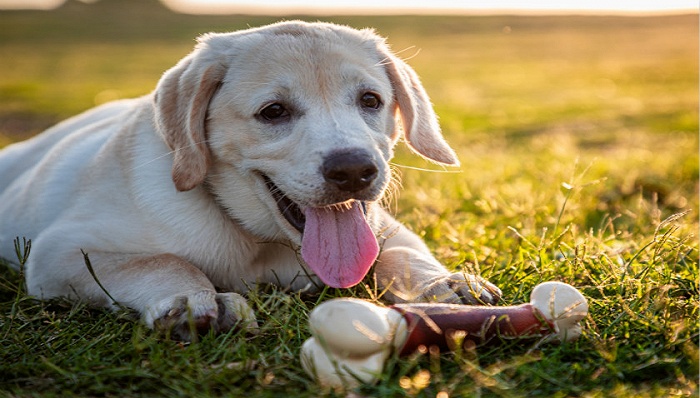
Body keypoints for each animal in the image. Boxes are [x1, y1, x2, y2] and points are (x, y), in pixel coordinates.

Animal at [0, 20, 498, 340]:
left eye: (371, 100)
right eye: (273, 112)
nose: (355, 170)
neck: (260, 243)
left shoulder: (388, 230)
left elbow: (399, 255)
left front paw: (444, 285)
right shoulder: (60, 252)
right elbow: (161, 262)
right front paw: (195, 299)